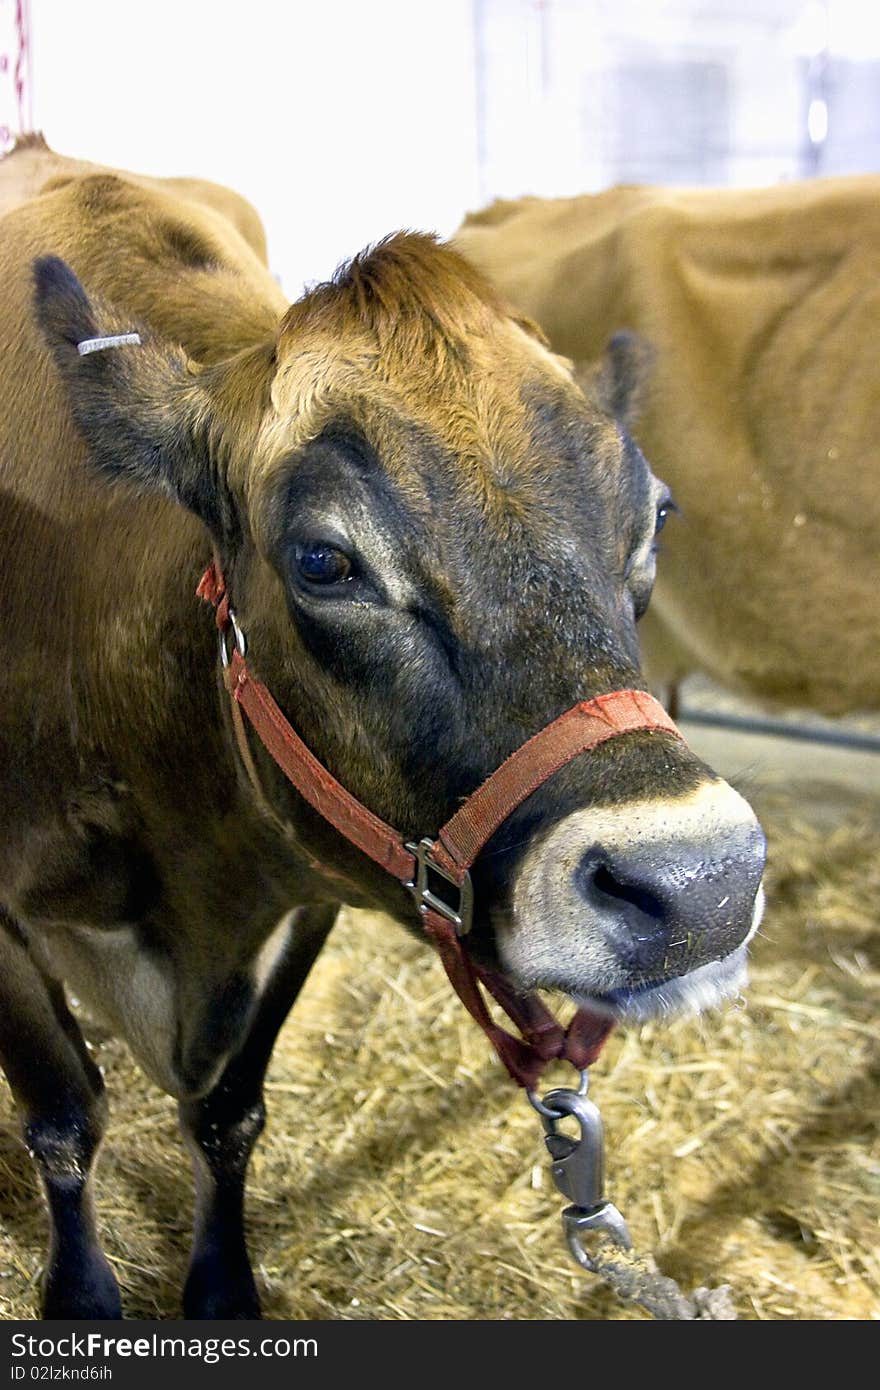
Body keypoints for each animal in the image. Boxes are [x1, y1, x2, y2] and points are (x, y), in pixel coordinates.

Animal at [0, 135, 761, 1317]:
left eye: (656, 518)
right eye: (323, 559)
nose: (701, 886)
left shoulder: (311, 879)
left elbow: (229, 1113)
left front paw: (222, 1282)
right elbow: (65, 1117)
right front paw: (80, 1295)